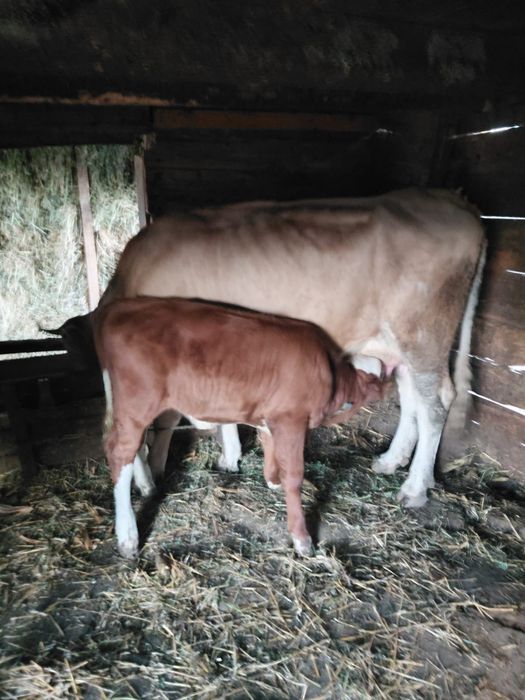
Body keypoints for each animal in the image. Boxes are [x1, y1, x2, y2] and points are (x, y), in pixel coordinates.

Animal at [53, 188, 486, 508]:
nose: (136, 484)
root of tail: (450, 199)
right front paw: (229, 457)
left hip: (423, 334)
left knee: (435, 403)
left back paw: (415, 488)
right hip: (401, 345)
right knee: (413, 399)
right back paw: (392, 461)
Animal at [93, 297, 385, 558]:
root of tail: (119, 306)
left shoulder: (271, 418)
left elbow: (271, 449)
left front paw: (272, 480)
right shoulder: (291, 419)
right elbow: (294, 476)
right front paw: (302, 539)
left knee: (134, 448)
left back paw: (147, 486)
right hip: (137, 405)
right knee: (120, 452)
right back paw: (128, 537)